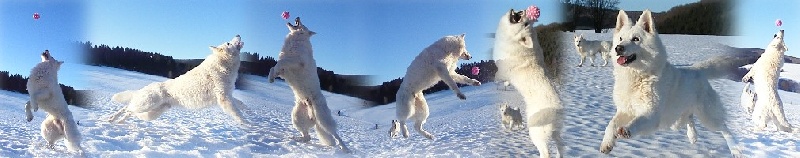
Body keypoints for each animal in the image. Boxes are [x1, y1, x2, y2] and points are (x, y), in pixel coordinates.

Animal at [108, 35, 248, 125]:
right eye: (228, 43)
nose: (238, 34)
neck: (223, 64)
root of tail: (144, 88)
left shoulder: (228, 95)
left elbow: (241, 104)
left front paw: (249, 112)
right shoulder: (224, 98)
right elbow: (238, 115)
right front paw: (248, 125)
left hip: (150, 114)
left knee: (130, 111)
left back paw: (119, 121)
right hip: (145, 105)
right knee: (127, 108)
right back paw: (112, 118)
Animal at [268, 17, 348, 152]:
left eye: (303, 23)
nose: (298, 17)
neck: (297, 39)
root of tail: (313, 116)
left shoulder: (296, 61)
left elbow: (280, 62)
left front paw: (272, 76)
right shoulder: (285, 70)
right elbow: (273, 67)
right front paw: (271, 78)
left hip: (323, 119)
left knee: (335, 134)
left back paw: (345, 148)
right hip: (296, 117)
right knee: (307, 137)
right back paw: (296, 139)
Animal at [490, 9, 564, 157]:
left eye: (525, 24)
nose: (523, 11)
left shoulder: (502, 68)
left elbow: (498, 76)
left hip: (536, 134)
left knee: (546, 152)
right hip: (555, 134)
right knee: (560, 146)